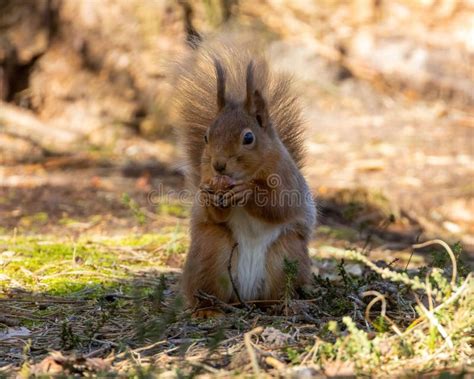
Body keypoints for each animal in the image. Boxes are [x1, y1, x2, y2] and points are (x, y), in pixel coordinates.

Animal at [173, 43, 314, 308]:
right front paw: (210, 195)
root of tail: (246, 295)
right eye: (206, 136)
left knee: (277, 290)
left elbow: (280, 205)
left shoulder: (288, 179)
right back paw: (207, 310)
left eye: (248, 138)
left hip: (286, 254)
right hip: (211, 250)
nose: (218, 165)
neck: (246, 175)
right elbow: (214, 212)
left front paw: (248, 193)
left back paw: (280, 307)